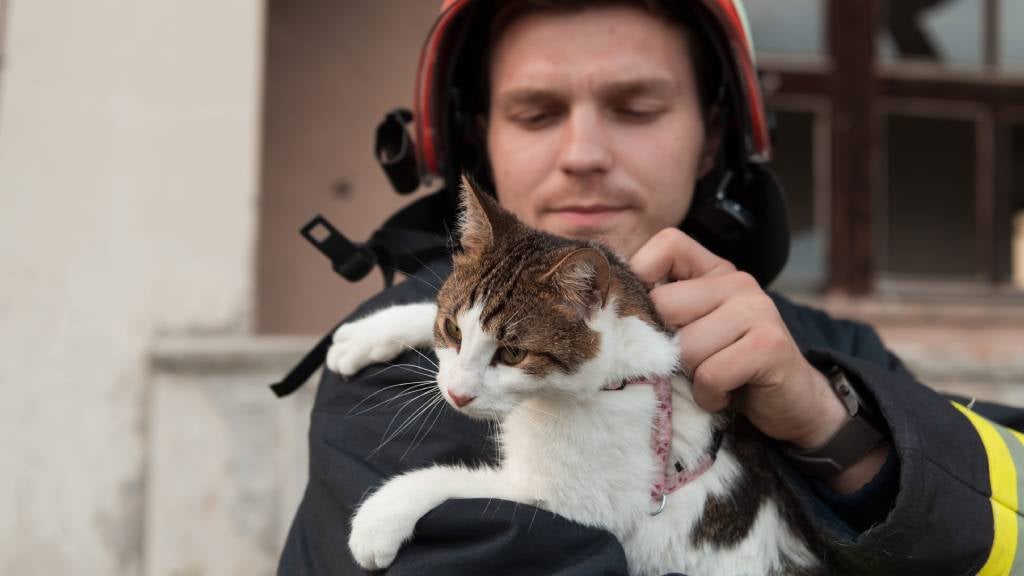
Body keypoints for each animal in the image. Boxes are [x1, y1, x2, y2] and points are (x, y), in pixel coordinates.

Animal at [327, 176, 823, 573]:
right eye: (452, 328)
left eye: (513, 353)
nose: (456, 394)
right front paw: (369, 333)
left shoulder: (579, 499)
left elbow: (463, 482)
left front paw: (382, 514)